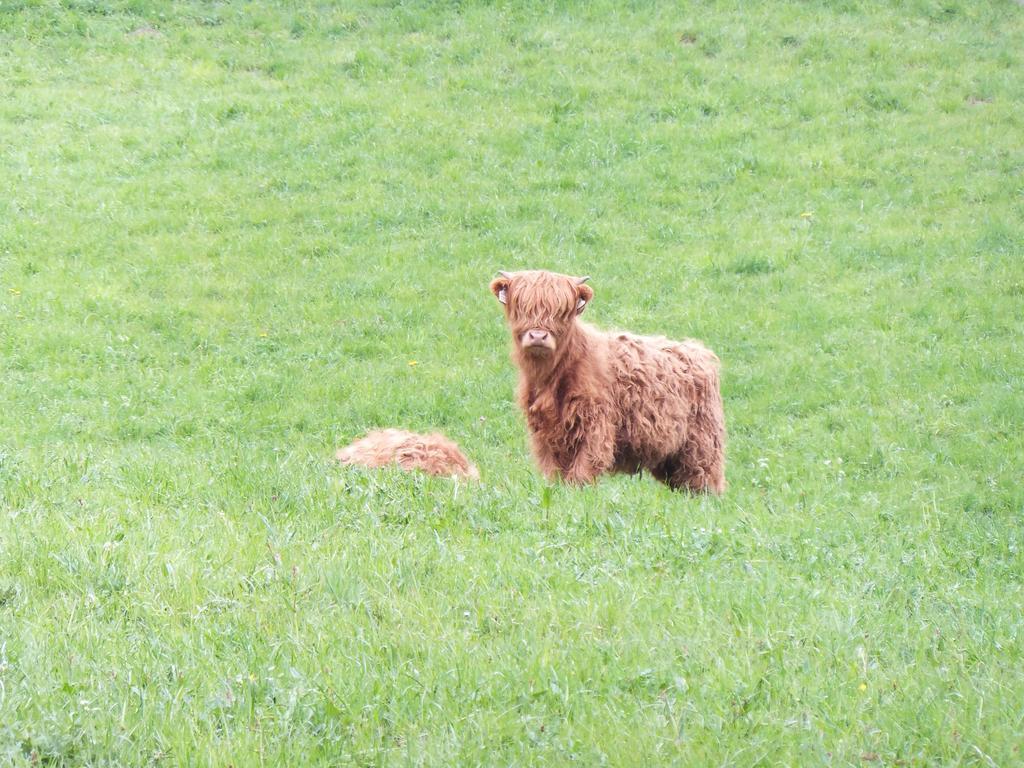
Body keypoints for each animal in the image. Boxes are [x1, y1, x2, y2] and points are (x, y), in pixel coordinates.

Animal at [489, 270, 724, 493]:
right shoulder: (545, 433)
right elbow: (555, 474)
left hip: (703, 445)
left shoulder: (595, 424)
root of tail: (697, 350)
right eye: (521, 307)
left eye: (562, 312)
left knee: (703, 480)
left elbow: (582, 472)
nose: (538, 336)